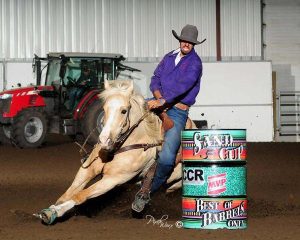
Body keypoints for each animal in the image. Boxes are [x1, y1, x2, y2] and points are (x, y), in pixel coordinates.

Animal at [35, 79, 195, 224]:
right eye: (104, 109)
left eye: (123, 111)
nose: (104, 140)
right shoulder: (87, 170)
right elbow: (68, 193)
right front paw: (53, 208)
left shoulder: (113, 179)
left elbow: (81, 195)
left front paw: (55, 212)